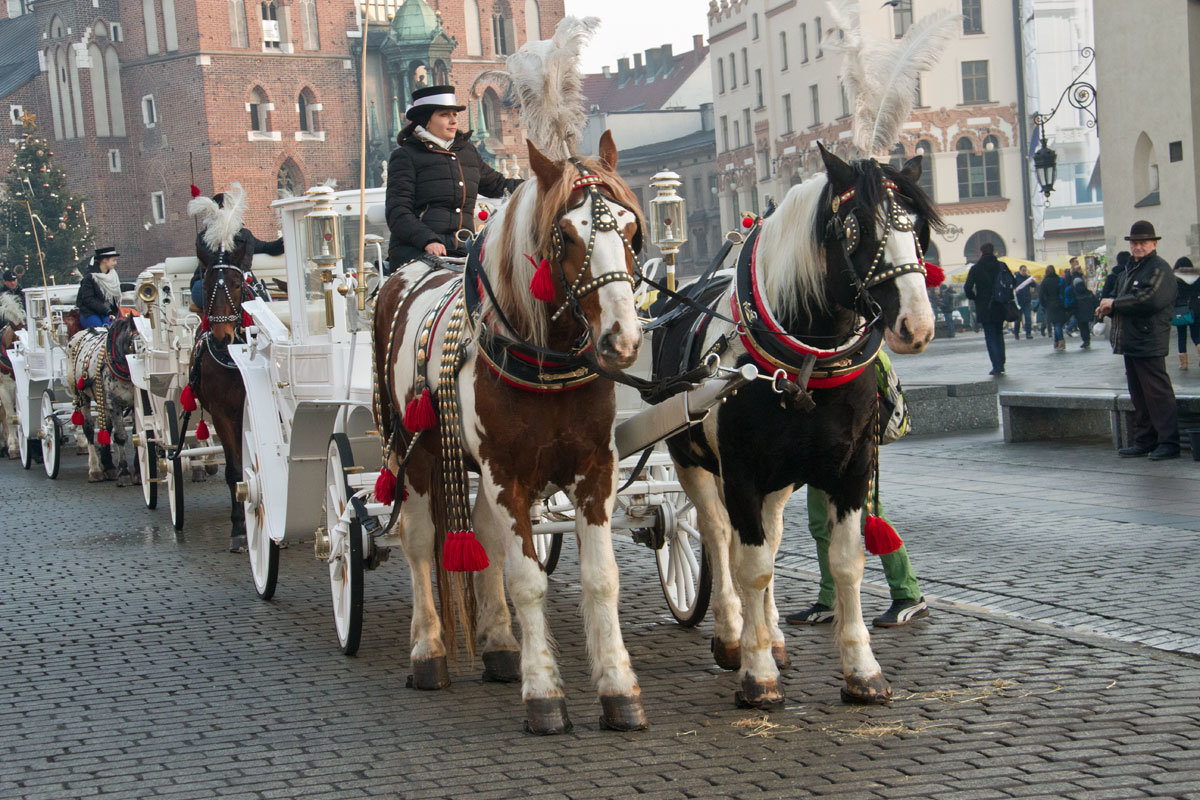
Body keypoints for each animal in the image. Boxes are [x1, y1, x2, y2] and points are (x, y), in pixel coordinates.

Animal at [379, 133, 652, 738]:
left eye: (630, 229)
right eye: (565, 235)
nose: (621, 340)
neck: (542, 360)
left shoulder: (594, 470)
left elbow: (602, 578)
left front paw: (618, 689)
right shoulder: (507, 473)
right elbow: (527, 579)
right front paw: (544, 695)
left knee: (481, 535)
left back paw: (502, 644)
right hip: (413, 455)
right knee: (418, 543)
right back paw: (428, 652)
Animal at [657, 143, 936, 705]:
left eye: (918, 227)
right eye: (855, 227)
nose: (916, 326)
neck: (804, 364)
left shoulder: (852, 468)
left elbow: (845, 562)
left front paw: (861, 670)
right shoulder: (740, 472)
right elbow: (751, 566)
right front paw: (757, 673)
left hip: (779, 480)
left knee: (765, 537)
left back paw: (772, 636)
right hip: (690, 461)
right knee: (717, 537)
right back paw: (733, 636)